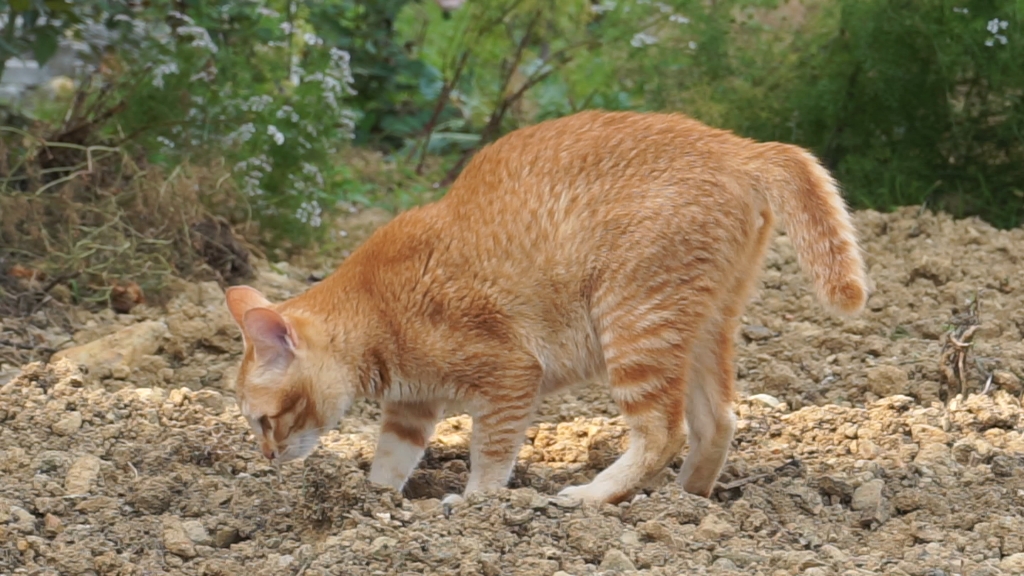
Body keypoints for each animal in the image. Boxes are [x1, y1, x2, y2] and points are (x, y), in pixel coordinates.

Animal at [224, 108, 864, 506]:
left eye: (263, 419)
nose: (266, 458)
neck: (375, 308)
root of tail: (739, 147)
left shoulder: (510, 376)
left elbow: (491, 453)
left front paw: (477, 504)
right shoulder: (412, 407)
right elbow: (390, 459)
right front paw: (374, 501)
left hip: (635, 326)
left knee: (662, 431)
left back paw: (593, 496)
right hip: (704, 327)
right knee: (718, 422)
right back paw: (684, 500)